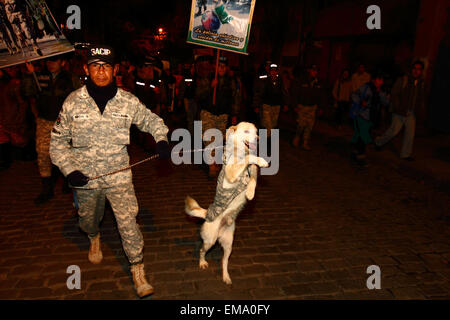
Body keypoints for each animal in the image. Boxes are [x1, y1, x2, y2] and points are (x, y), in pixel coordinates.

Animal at [185, 121, 268, 284]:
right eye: (247, 131)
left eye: (256, 131)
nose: (258, 139)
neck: (239, 152)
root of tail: (207, 214)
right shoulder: (231, 174)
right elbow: (249, 159)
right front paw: (260, 160)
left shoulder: (252, 172)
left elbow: (253, 179)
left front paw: (250, 192)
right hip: (210, 240)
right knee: (202, 250)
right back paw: (202, 263)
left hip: (229, 244)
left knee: (224, 261)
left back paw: (226, 276)